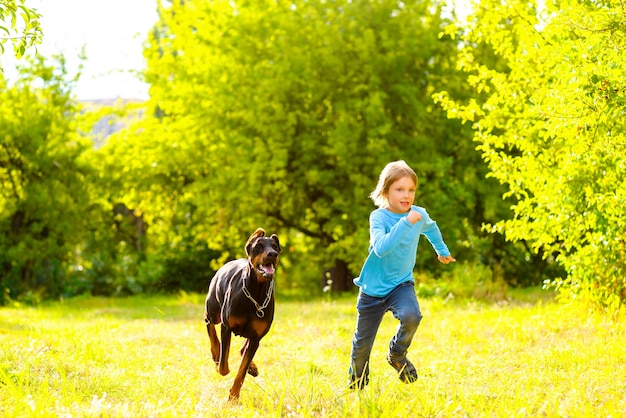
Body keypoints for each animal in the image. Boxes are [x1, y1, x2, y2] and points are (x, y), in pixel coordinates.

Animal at [204, 229, 280, 402]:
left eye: (275, 246)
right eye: (258, 245)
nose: (272, 254)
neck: (255, 291)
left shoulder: (256, 337)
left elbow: (242, 370)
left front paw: (233, 396)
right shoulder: (226, 326)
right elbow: (223, 366)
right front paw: (218, 362)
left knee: (242, 348)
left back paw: (252, 367)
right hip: (214, 310)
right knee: (209, 324)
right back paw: (215, 352)